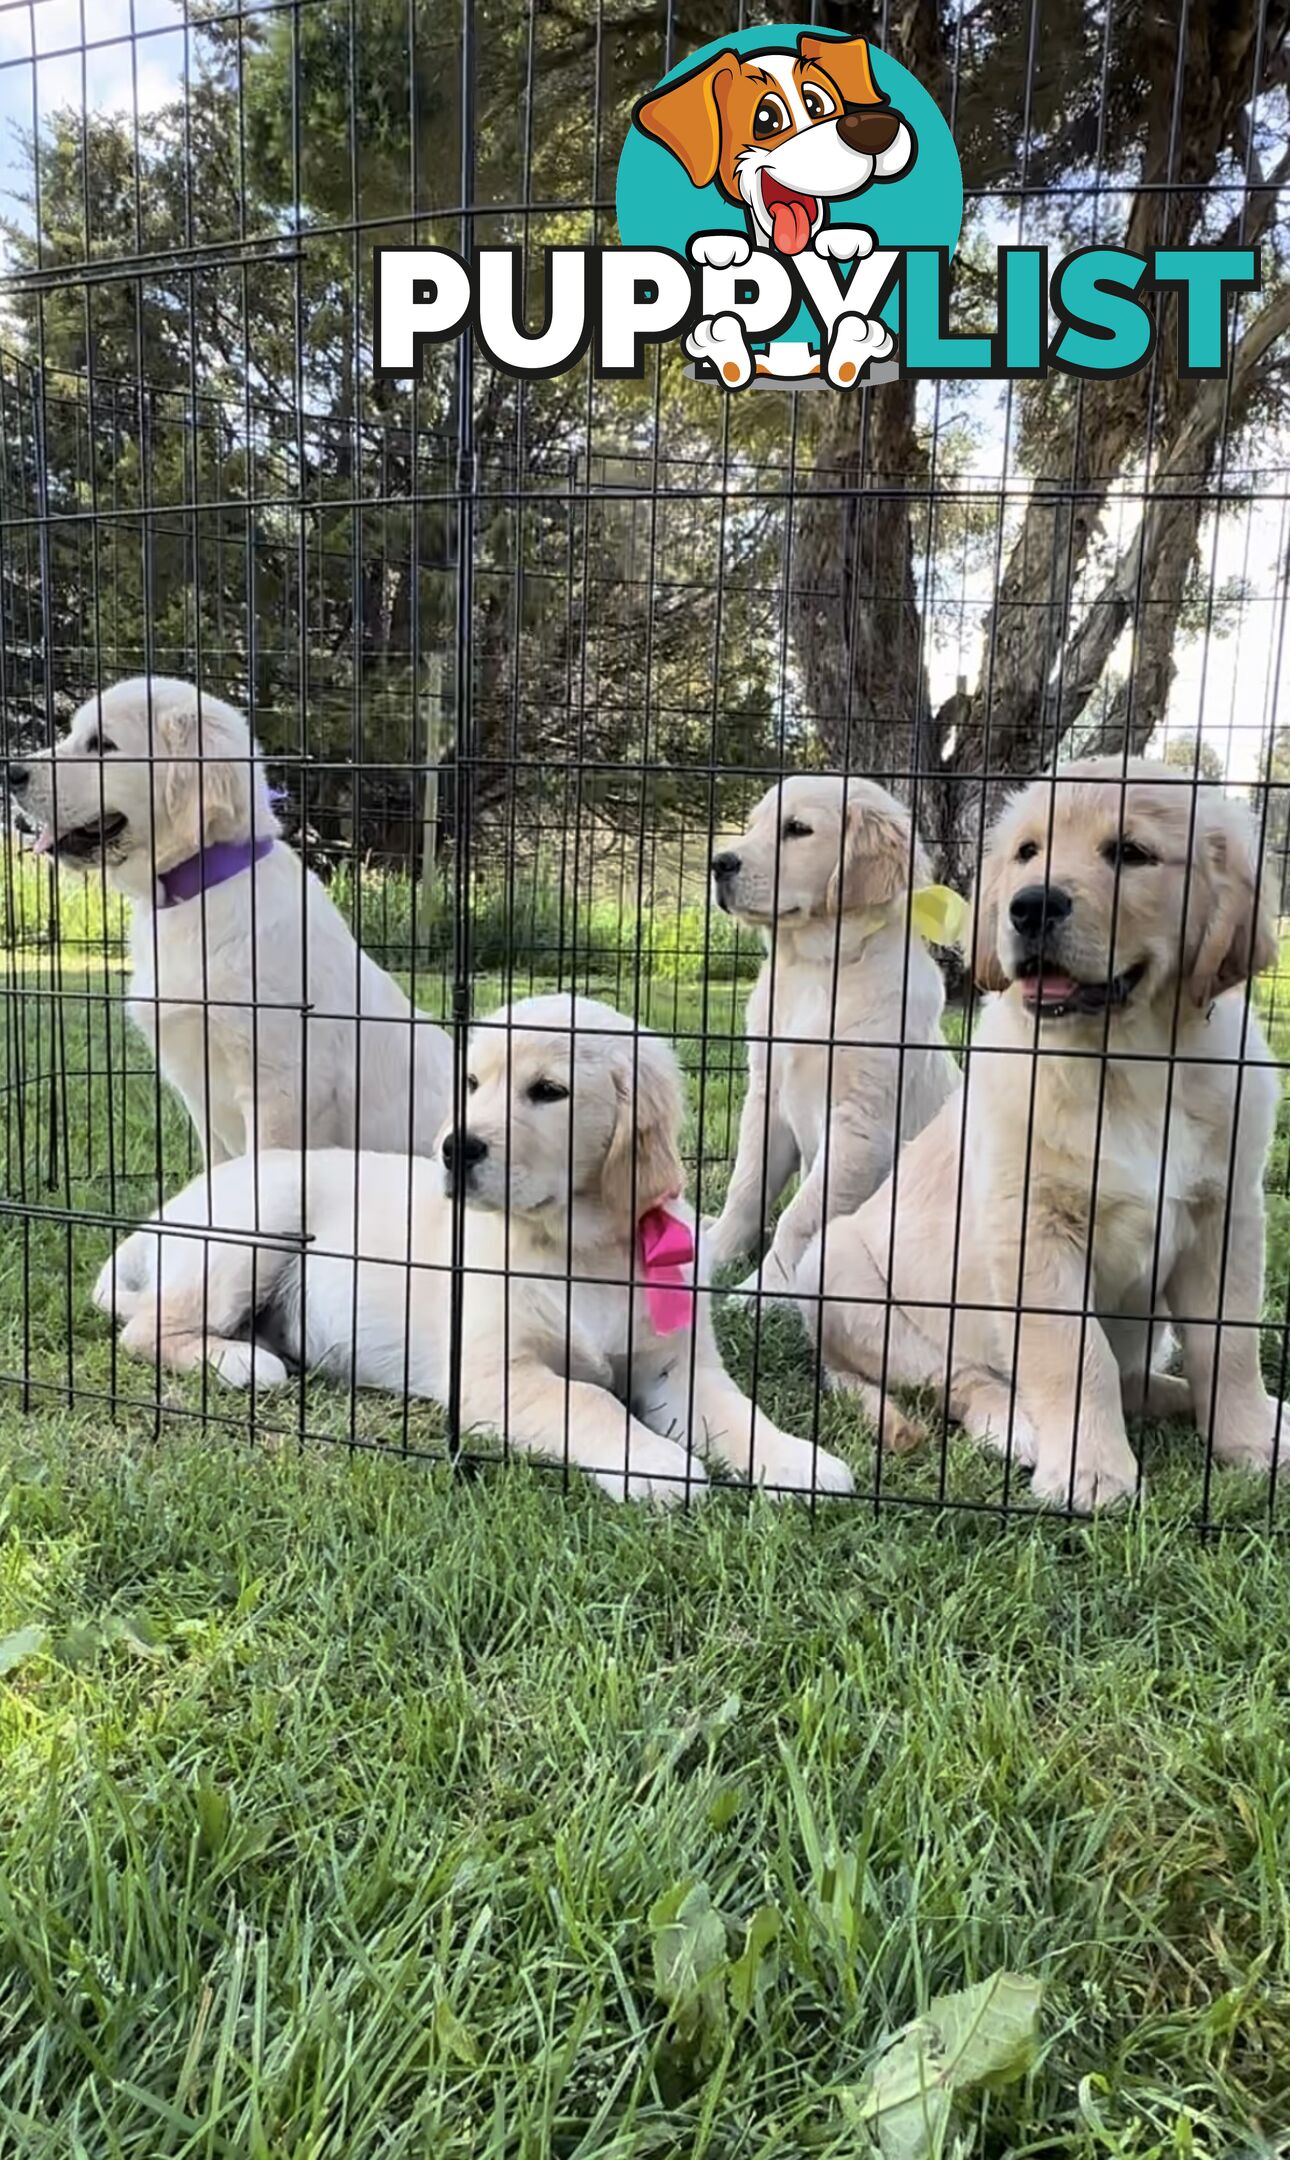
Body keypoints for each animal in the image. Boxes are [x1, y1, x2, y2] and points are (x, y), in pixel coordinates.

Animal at [95, 993, 851, 1503]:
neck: (579, 1246)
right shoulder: (495, 1376)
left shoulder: (678, 1369)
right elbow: (590, 1402)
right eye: (471, 1083)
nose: (456, 1148)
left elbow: (739, 1411)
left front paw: (800, 1460)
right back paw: (241, 1362)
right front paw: (656, 1465)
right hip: (261, 1226)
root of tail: (166, 1213)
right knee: (145, 1327)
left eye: (549, 1091)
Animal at [704, 786, 955, 1304]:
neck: (817, 968)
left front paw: (763, 1291)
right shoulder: (767, 1098)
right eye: (754, 825)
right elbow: (746, 1187)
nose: (719, 862)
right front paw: (712, 1253)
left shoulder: (857, 1126)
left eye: (797, 829)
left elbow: (799, 1217)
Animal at [799, 768, 1279, 1512]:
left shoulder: (1225, 1213)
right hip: (838, 1272)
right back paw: (1019, 1426)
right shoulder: (1033, 1227)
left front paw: (1249, 1439)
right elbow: (1075, 1351)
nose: (1030, 907)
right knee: (960, 1382)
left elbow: (1228, 1345)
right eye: (1027, 853)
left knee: (1136, 1376)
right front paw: (1090, 1470)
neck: (1133, 1063)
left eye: (1132, 853)